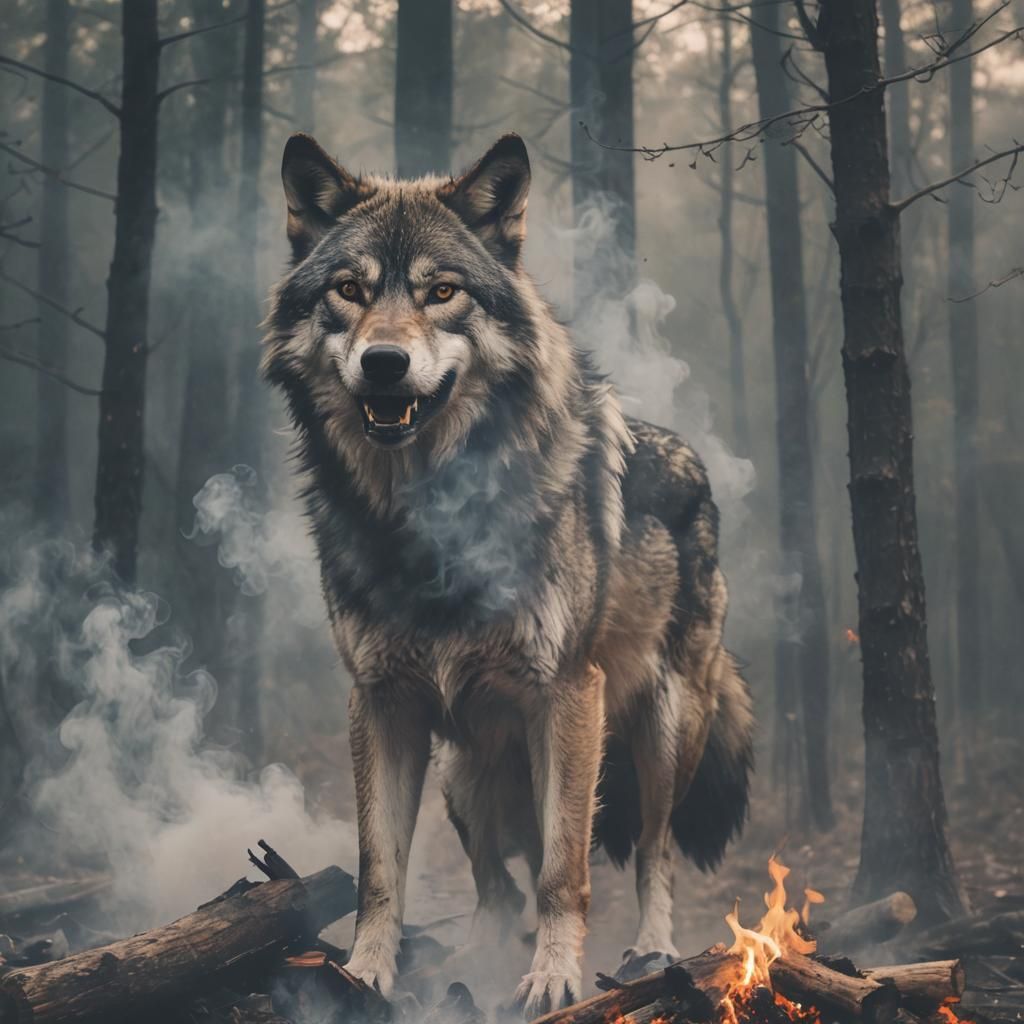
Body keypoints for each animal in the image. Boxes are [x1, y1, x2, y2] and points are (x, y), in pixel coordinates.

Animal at [262, 131, 754, 1016]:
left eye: (442, 292)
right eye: (350, 290)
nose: (384, 363)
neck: (425, 519)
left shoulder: (567, 694)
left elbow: (565, 871)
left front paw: (555, 979)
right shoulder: (379, 702)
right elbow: (379, 870)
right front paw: (363, 976)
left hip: (660, 734)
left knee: (651, 852)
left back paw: (652, 952)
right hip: (467, 775)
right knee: (495, 887)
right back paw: (477, 961)